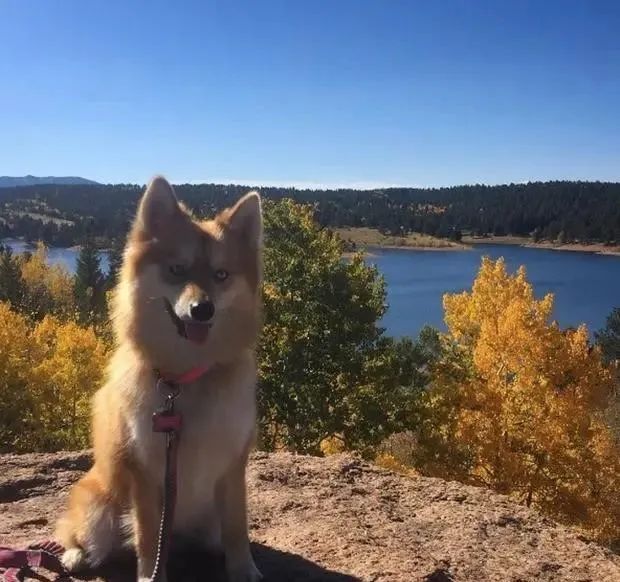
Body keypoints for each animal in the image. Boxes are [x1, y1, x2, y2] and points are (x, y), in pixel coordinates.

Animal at [55, 178, 264, 582]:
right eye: (177, 269)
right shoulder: (146, 474)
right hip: (101, 507)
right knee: (78, 535)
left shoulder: (233, 467)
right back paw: (75, 556)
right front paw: (150, 573)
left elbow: (237, 526)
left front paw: (243, 568)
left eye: (221, 275)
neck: (185, 378)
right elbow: (149, 539)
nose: (203, 309)